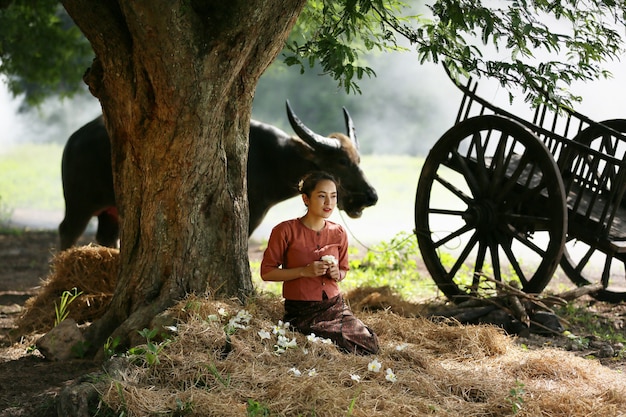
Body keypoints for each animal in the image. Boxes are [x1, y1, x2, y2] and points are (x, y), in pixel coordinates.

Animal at [59, 101, 376, 249]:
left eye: (358, 159)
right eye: (341, 161)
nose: (370, 196)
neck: (272, 160)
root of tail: (73, 140)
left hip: (110, 212)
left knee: (106, 238)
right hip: (79, 204)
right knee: (67, 231)